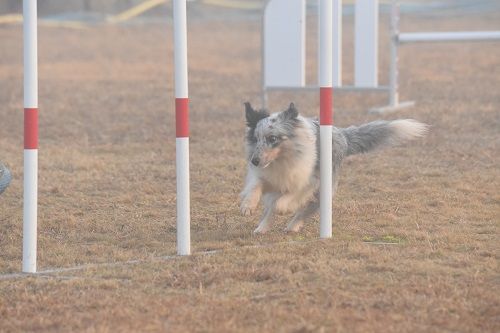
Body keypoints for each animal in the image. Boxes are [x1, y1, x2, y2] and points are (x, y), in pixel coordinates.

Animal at [240, 102, 428, 233]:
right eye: (256, 138)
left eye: (272, 138)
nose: (254, 160)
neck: (282, 158)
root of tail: (342, 135)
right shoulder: (267, 176)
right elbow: (256, 187)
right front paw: (247, 207)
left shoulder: (309, 182)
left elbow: (284, 200)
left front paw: (283, 207)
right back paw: (261, 228)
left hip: (324, 190)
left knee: (306, 210)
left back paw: (292, 226)